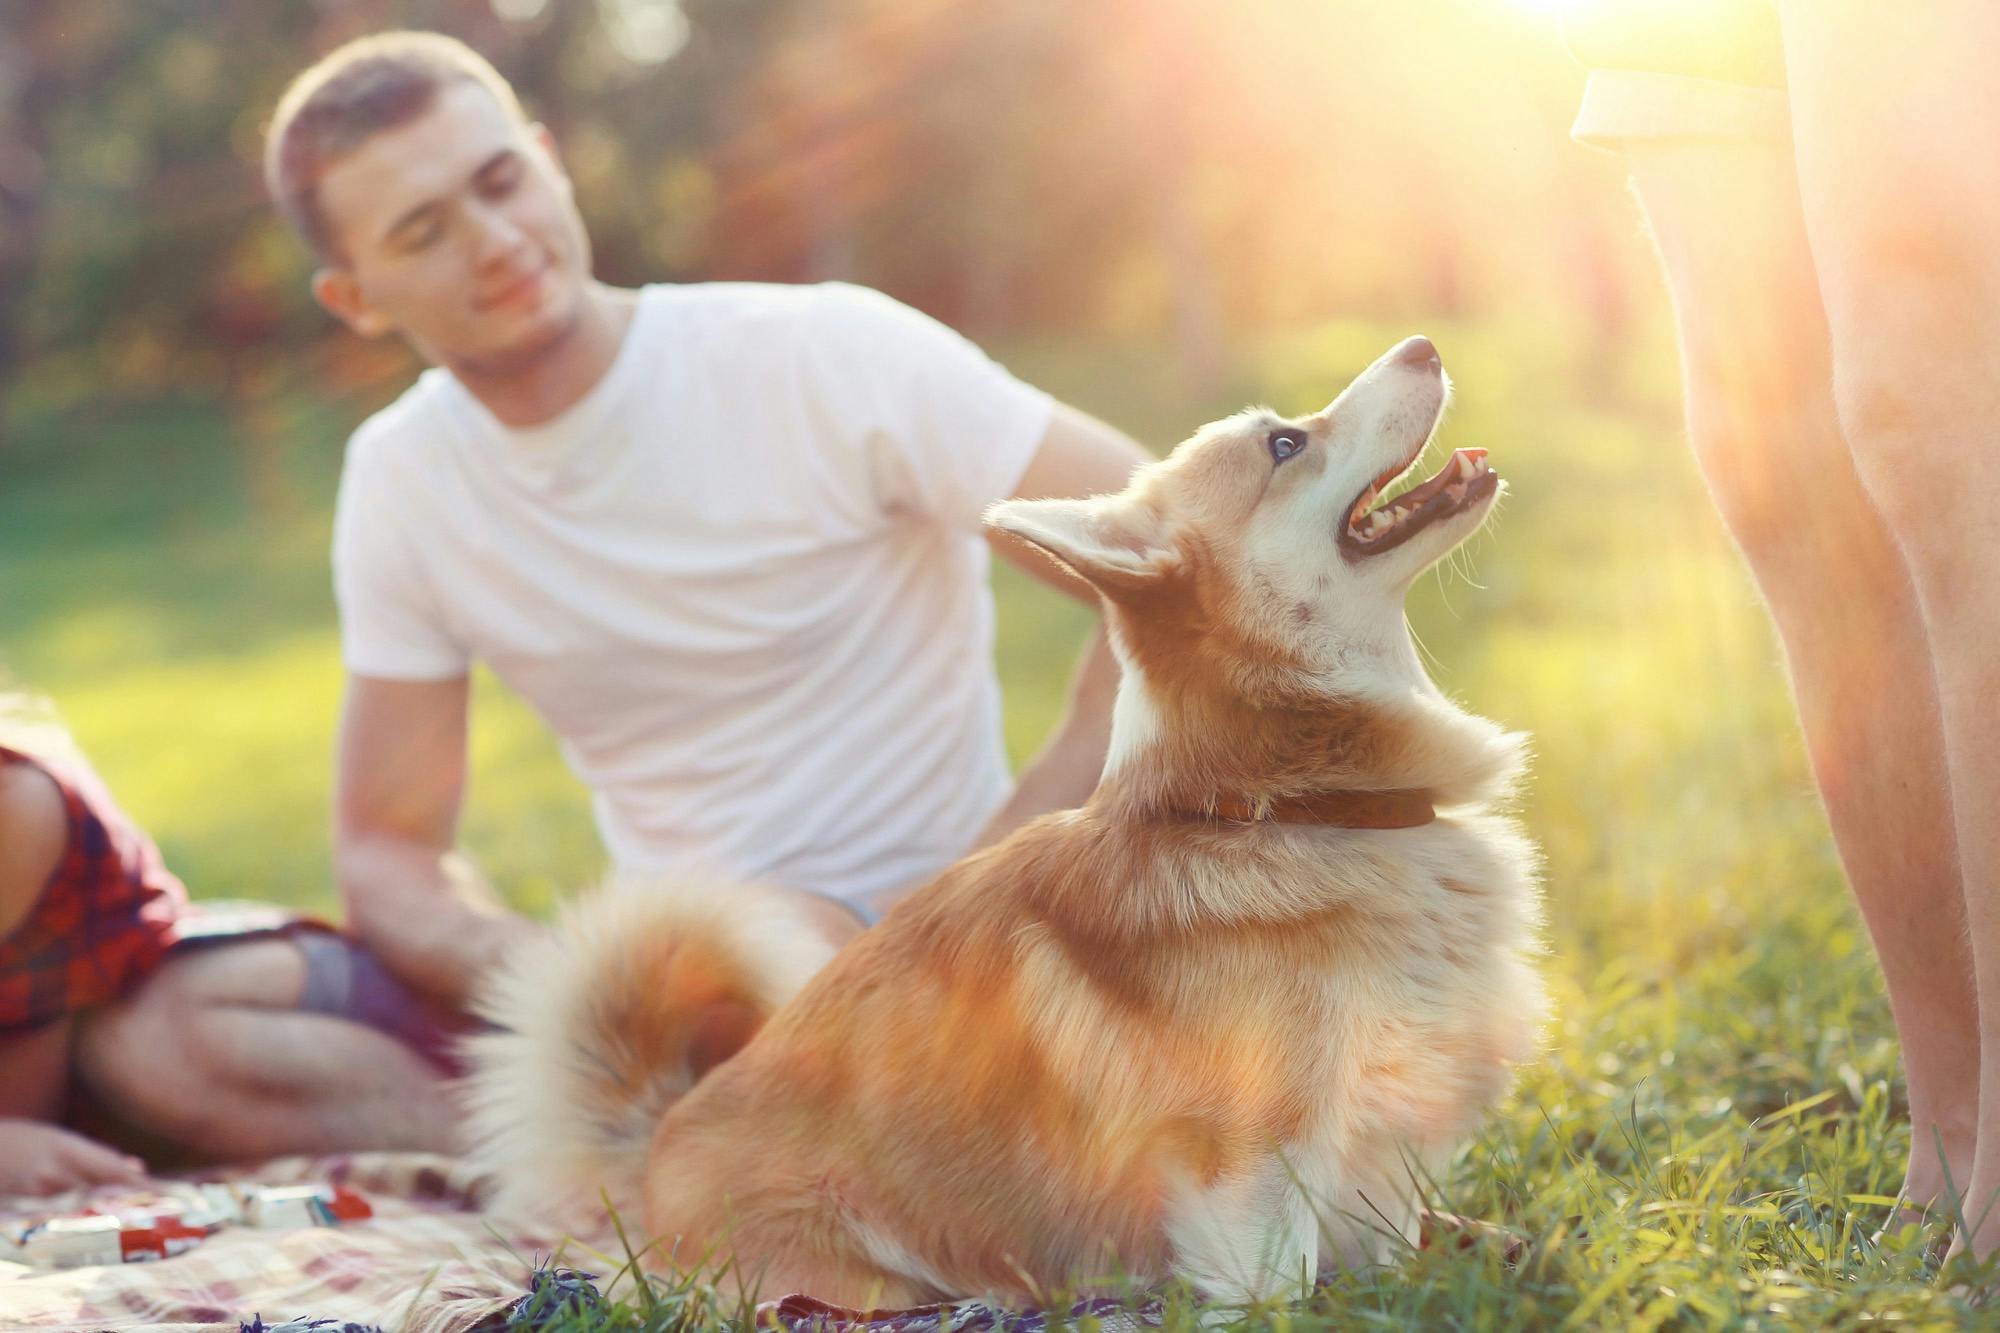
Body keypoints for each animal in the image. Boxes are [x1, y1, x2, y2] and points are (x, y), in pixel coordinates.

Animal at [472, 334, 1544, 1304]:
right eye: (1284, 443)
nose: (1424, 342)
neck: (1288, 804)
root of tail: (652, 1155)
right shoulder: (1251, 1174)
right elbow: (1293, 1296)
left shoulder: (1380, 1148)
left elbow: (1396, 1256)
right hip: (864, 1284)